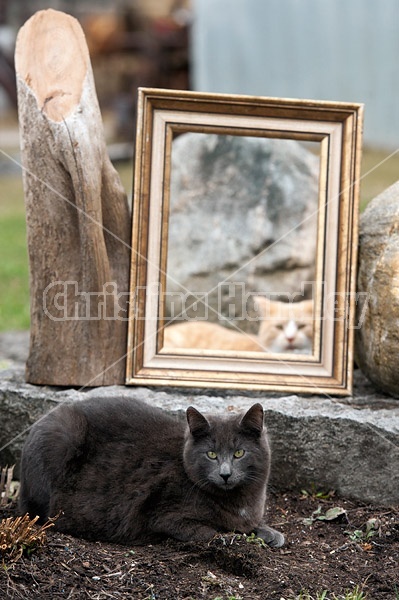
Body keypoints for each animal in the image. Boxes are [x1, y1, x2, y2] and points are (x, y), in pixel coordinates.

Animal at [19, 398, 284, 548]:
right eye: (211, 454)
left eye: (239, 453)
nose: (225, 474)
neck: (240, 502)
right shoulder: (164, 515)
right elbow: (210, 531)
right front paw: (233, 537)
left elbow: (252, 525)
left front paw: (270, 533)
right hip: (62, 435)